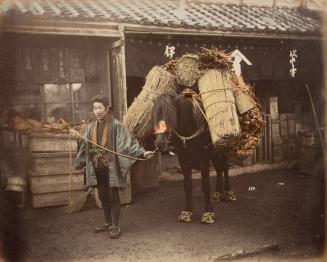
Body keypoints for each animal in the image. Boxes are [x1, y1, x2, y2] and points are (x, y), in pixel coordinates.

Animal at [152, 89, 237, 224]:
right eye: (155, 115)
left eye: (171, 114)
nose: (160, 143)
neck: (190, 128)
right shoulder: (183, 159)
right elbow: (187, 185)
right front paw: (187, 212)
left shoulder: (204, 157)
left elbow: (206, 185)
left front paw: (208, 213)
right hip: (214, 153)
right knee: (219, 168)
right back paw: (218, 193)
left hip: (222, 148)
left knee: (225, 167)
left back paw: (229, 192)